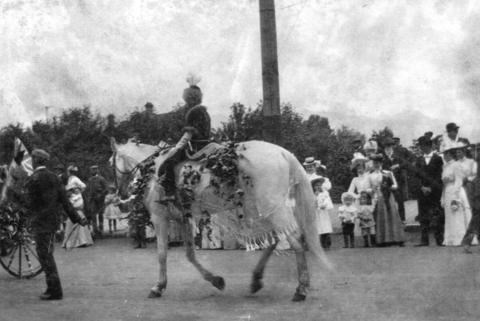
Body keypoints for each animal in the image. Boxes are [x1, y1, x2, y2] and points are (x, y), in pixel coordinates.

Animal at [110, 138, 324, 300]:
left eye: (110, 162)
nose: (120, 197)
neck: (152, 170)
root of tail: (282, 153)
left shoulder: (159, 217)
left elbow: (162, 254)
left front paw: (158, 286)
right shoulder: (184, 219)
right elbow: (190, 254)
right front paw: (216, 280)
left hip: (271, 209)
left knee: (295, 240)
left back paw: (301, 289)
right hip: (264, 210)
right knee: (276, 239)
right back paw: (256, 280)